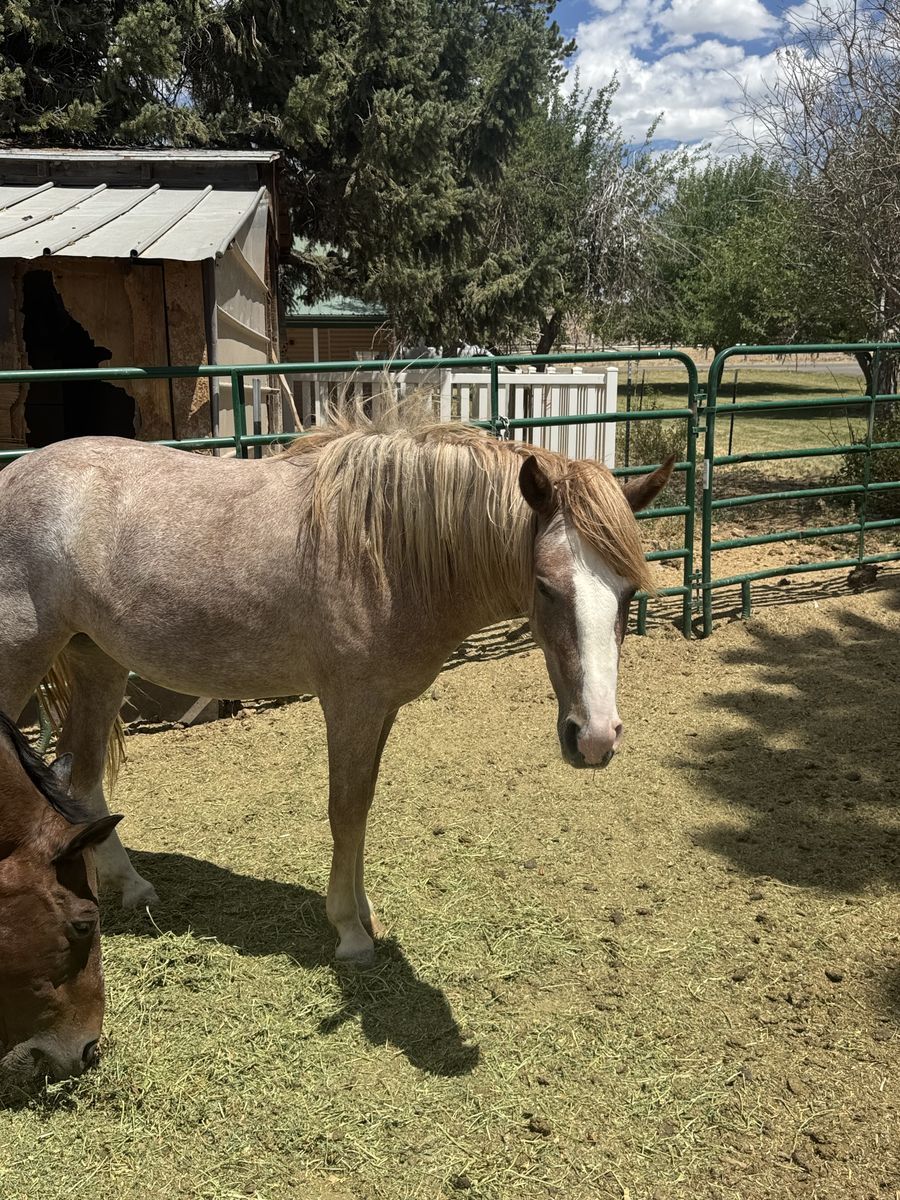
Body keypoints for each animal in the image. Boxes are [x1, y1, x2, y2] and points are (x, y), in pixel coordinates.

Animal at [0, 402, 672, 966]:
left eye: (627, 592)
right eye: (545, 586)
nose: (595, 738)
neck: (390, 555)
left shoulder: (380, 707)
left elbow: (364, 804)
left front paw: (365, 913)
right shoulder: (349, 704)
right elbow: (345, 809)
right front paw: (350, 931)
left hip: (99, 662)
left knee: (82, 777)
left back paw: (131, 887)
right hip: (22, 663)